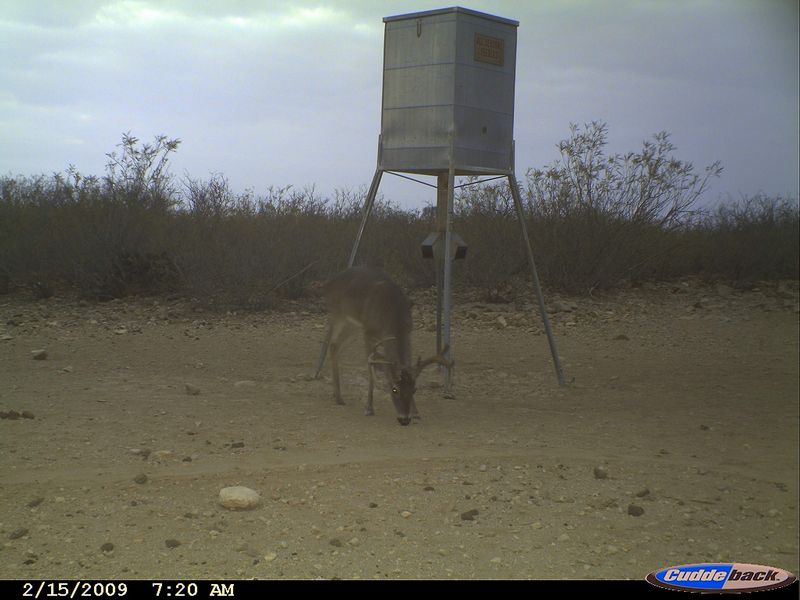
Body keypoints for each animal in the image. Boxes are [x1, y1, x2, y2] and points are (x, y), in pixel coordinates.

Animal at [322, 268, 454, 426]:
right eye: (394, 390)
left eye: (414, 390)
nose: (404, 419)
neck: (391, 315)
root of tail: (328, 283)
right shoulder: (368, 332)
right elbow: (370, 367)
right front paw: (369, 408)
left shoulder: (408, 332)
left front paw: (416, 412)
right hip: (339, 315)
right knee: (332, 343)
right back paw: (339, 397)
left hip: (353, 325)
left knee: (335, 346)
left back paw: (337, 395)